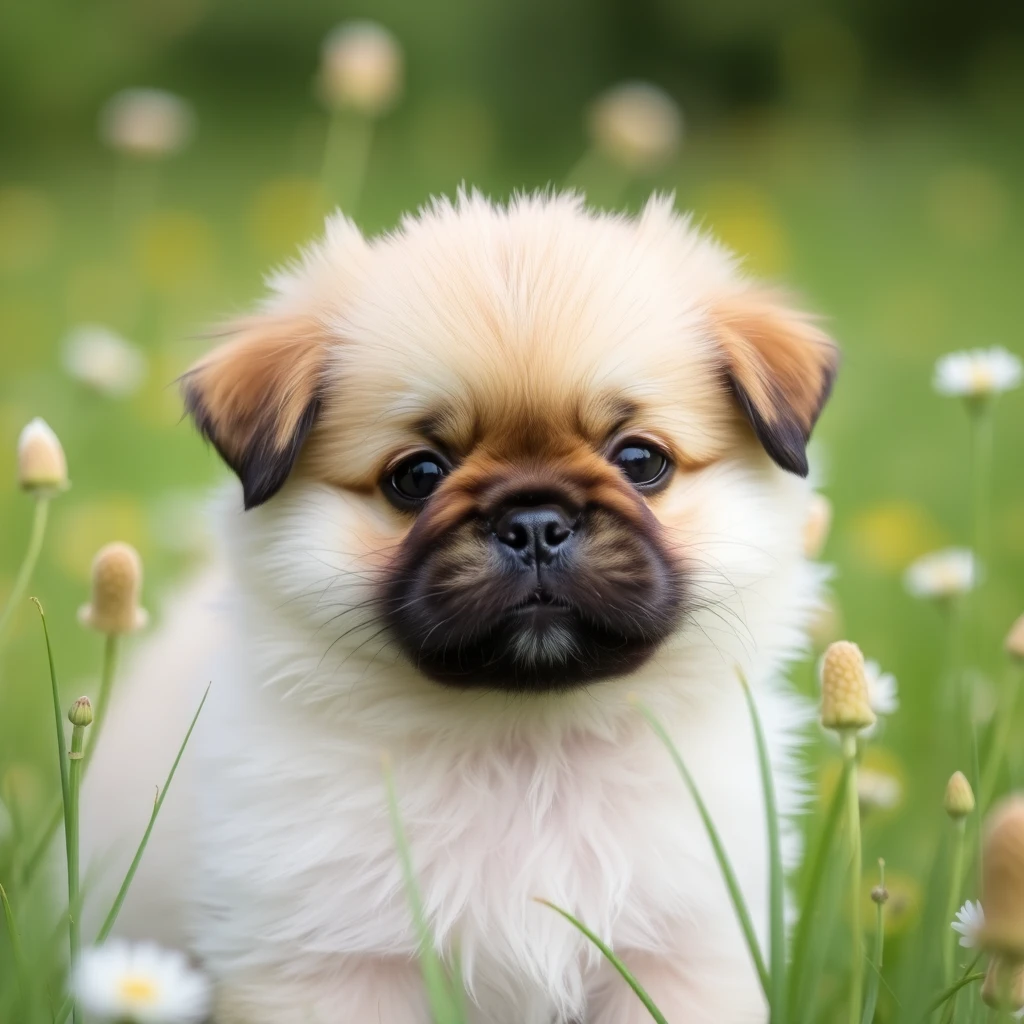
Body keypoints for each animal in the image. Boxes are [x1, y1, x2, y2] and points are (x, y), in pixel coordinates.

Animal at [81, 192, 839, 1024]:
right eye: (418, 476)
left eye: (641, 461)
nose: (535, 524)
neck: (524, 753)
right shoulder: (332, 966)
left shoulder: (681, 956)